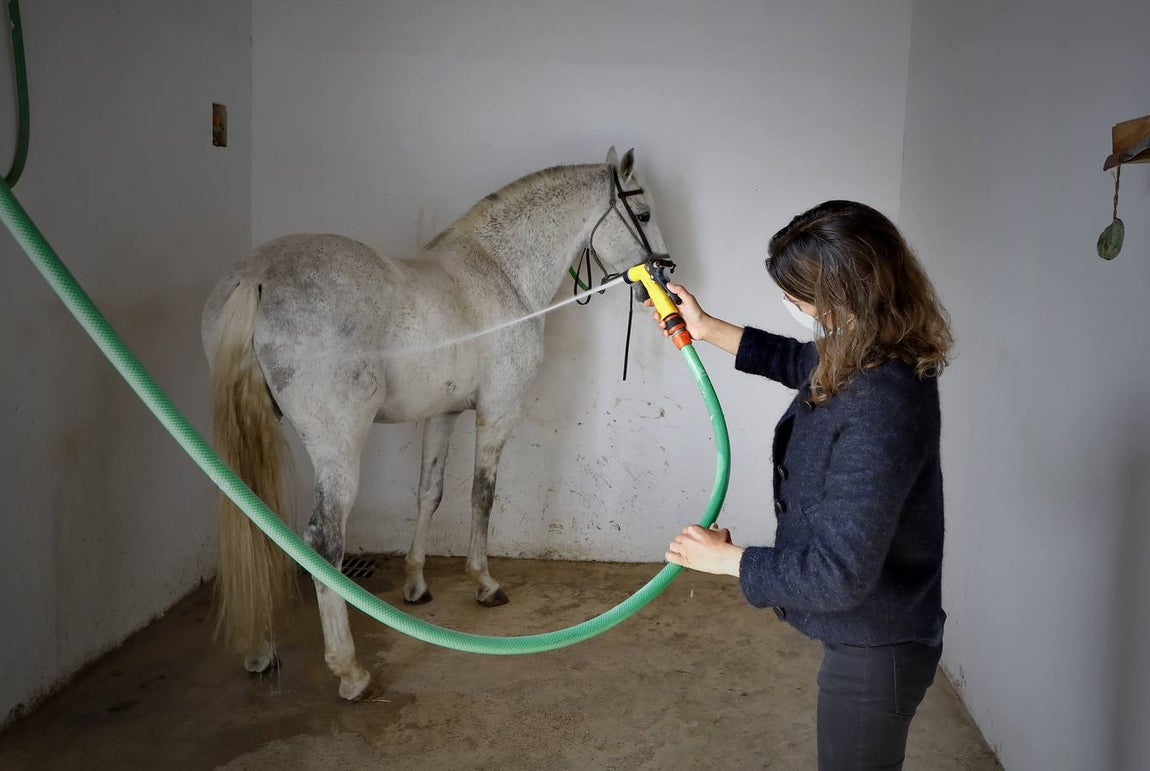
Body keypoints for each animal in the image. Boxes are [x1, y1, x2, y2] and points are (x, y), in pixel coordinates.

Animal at [200, 147, 668, 700]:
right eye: (643, 214)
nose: (664, 277)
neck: (500, 272)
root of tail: (256, 277)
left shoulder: (441, 415)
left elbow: (430, 493)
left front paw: (416, 584)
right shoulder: (497, 413)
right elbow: (481, 496)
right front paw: (484, 583)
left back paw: (259, 650)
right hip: (338, 447)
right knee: (322, 540)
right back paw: (349, 670)